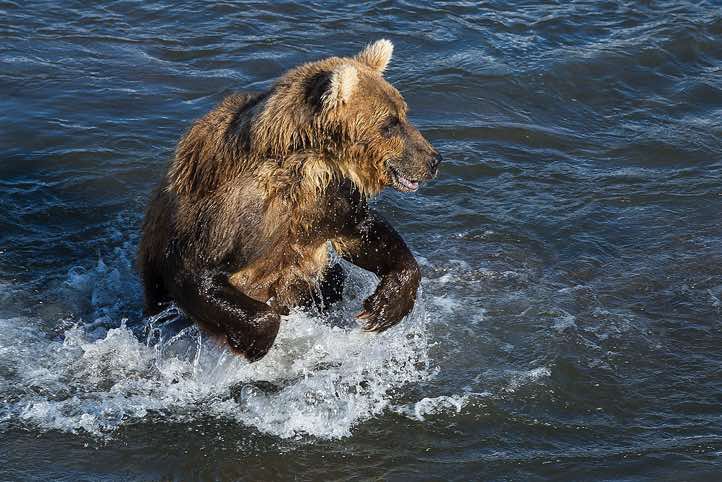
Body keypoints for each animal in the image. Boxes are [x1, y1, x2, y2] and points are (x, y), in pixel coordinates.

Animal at [137, 39, 442, 361]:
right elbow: (195, 271)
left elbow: (363, 233)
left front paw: (383, 307)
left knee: (334, 280)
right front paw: (253, 342)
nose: (433, 159)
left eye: (403, 113)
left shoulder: (328, 200)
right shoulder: (229, 213)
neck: (307, 166)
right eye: (390, 122)